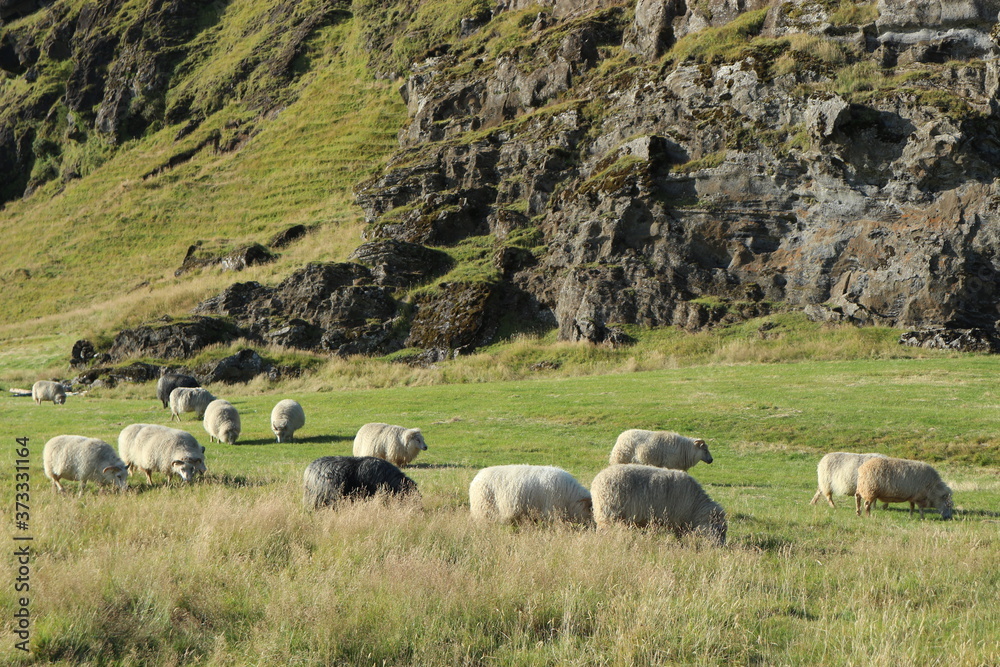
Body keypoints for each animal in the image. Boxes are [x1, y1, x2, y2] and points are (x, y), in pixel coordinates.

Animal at [591, 464, 727, 545]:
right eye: (720, 529)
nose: (721, 546)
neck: (695, 506)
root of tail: (597, 479)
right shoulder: (675, 518)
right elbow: (677, 535)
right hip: (607, 512)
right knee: (603, 530)